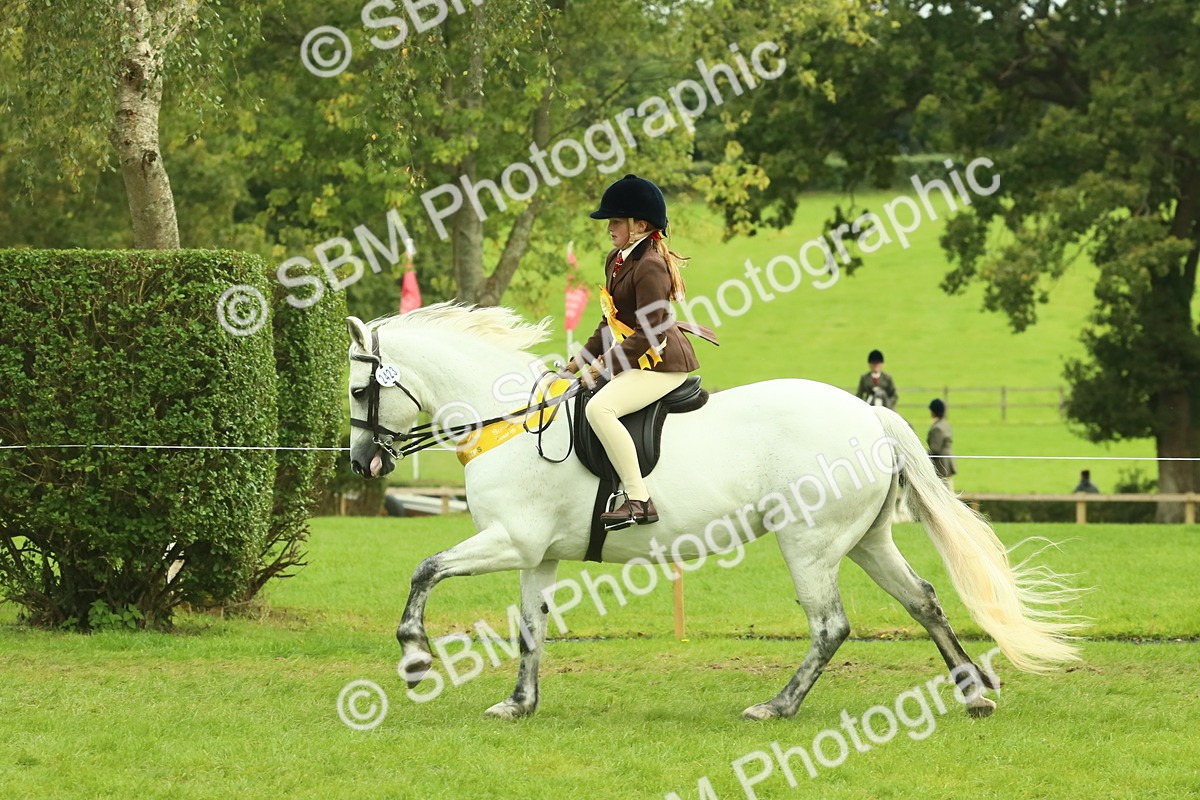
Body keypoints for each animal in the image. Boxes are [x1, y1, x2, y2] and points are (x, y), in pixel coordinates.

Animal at [345, 302, 1081, 721]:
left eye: (357, 389)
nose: (362, 464)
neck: (512, 423)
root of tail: (870, 416)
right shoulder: (537, 556)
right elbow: (529, 628)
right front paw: (519, 704)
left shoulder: (510, 540)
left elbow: (425, 568)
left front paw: (414, 658)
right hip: (867, 540)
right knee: (923, 599)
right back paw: (973, 693)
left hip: (809, 544)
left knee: (830, 626)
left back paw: (777, 706)